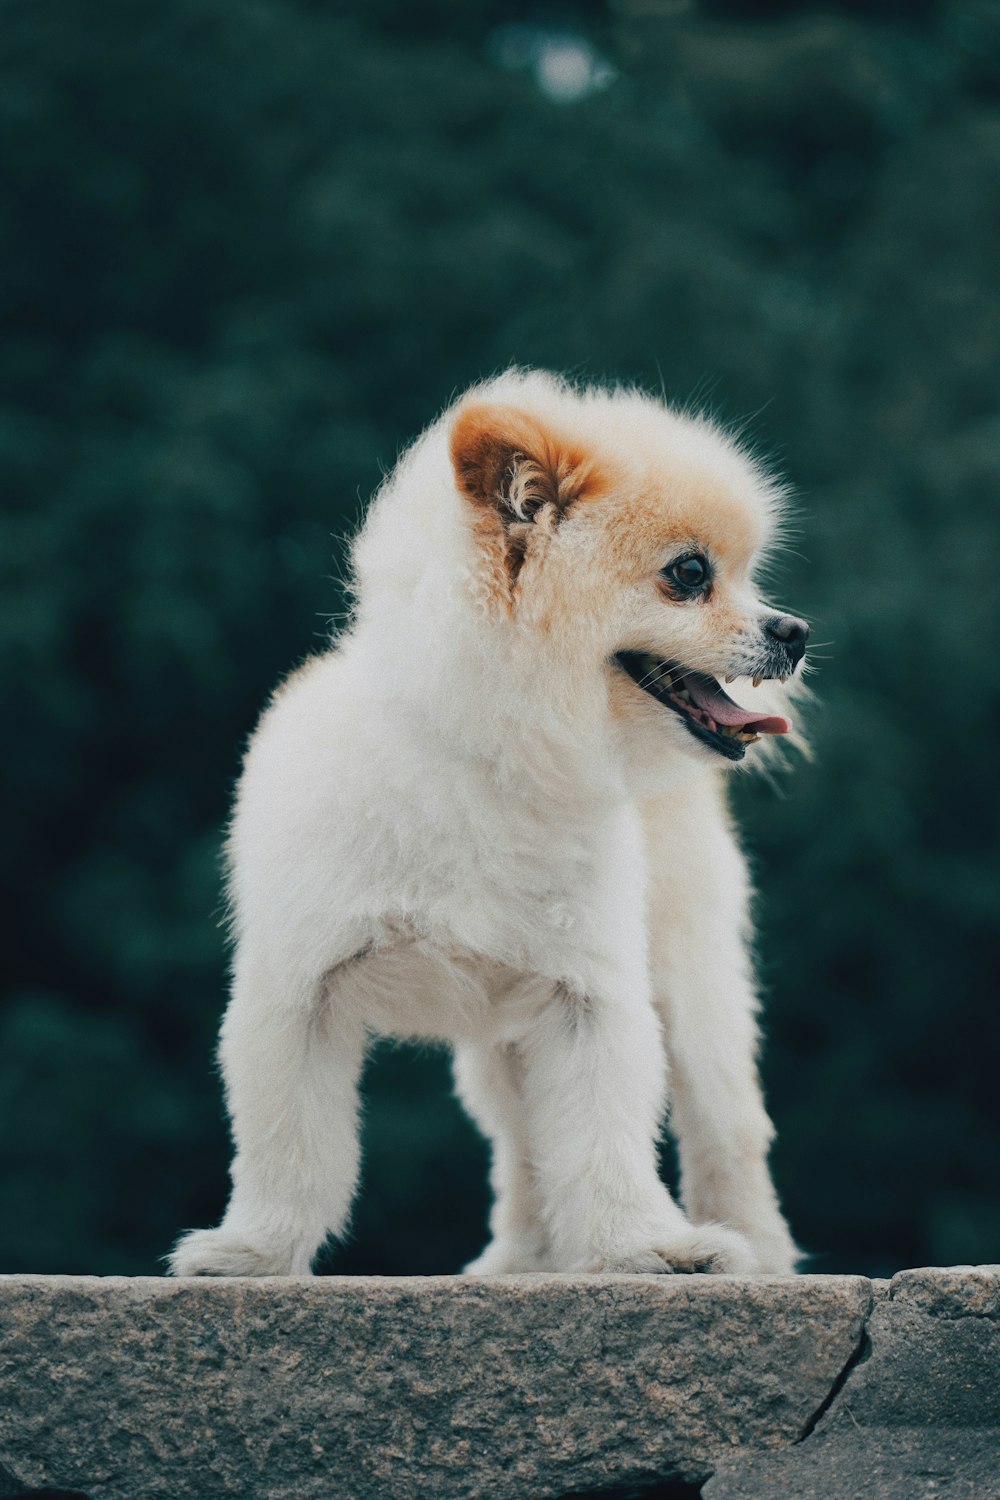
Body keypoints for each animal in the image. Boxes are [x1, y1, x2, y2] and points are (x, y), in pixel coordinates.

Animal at [170, 372, 803, 1278]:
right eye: (689, 575)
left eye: (745, 576)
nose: (795, 630)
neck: (491, 763)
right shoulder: (297, 993)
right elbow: (290, 1148)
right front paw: (256, 1250)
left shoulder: (591, 1000)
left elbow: (606, 1143)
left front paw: (641, 1245)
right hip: (506, 1046)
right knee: (525, 1144)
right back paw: (526, 1258)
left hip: (688, 986)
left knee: (726, 1125)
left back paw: (753, 1246)